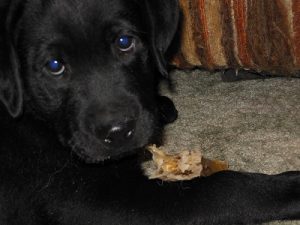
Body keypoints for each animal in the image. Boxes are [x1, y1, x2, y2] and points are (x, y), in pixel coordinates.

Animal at [0, 0, 298, 225]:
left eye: (124, 41)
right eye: (54, 65)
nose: (119, 132)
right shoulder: (88, 201)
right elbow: (221, 188)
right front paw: (291, 187)